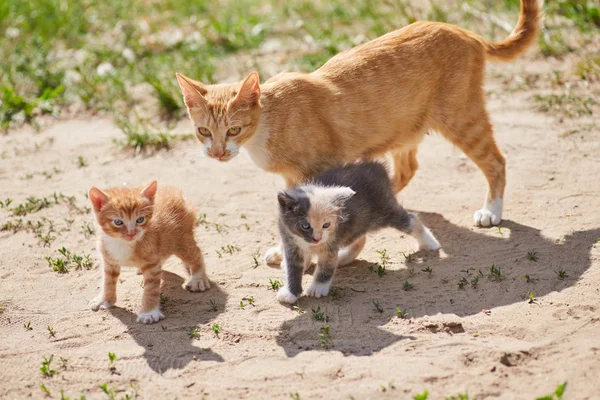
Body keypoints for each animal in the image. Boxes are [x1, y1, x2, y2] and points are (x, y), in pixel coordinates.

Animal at [88, 180, 210, 324]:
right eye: (118, 222)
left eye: (140, 219)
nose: (131, 233)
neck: (123, 243)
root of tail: (174, 191)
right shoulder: (109, 259)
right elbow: (108, 281)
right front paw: (105, 300)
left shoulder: (151, 264)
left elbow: (151, 289)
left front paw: (149, 313)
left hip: (181, 241)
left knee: (195, 253)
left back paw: (198, 279)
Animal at [176, 0, 540, 233]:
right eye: (204, 131)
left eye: (234, 129)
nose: (218, 152)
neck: (266, 125)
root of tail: (466, 32)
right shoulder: (293, 177)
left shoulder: (315, 168)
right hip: (403, 128)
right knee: (406, 169)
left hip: (462, 118)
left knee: (495, 160)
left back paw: (491, 211)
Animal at [276, 162, 440, 304]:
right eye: (305, 226)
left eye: (326, 225)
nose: (317, 238)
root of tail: (377, 167)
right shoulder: (291, 244)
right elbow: (292, 270)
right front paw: (291, 293)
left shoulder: (330, 245)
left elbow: (325, 268)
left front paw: (318, 288)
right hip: (358, 222)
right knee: (358, 239)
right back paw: (342, 258)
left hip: (385, 211)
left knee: (411, 220)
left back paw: (430, 243)